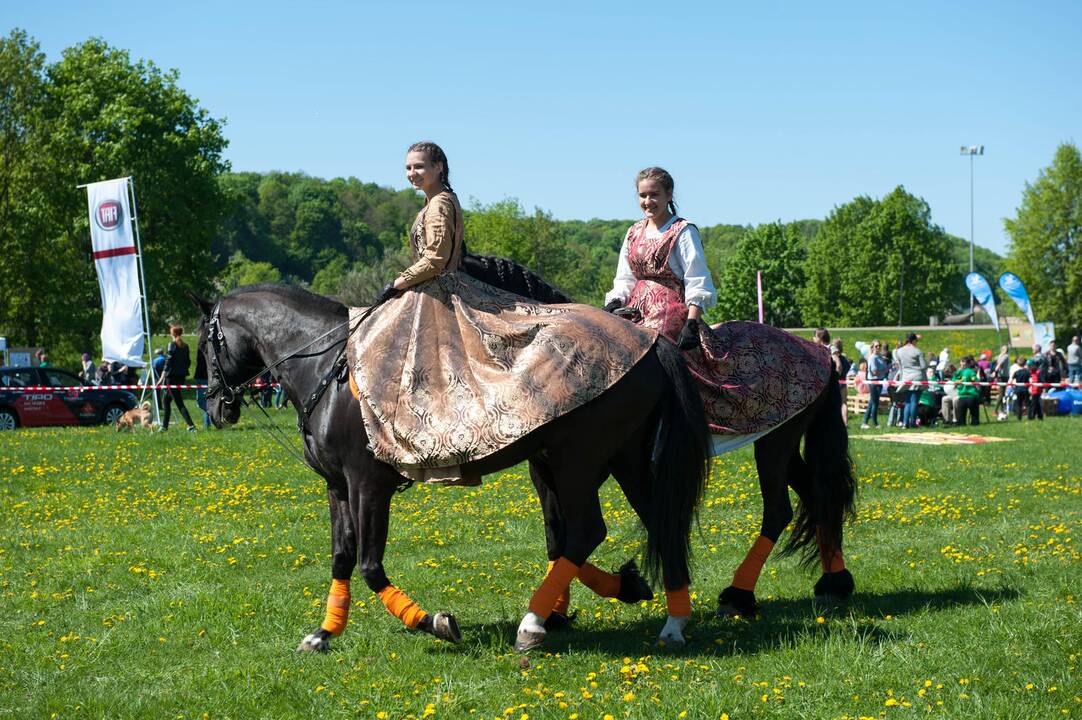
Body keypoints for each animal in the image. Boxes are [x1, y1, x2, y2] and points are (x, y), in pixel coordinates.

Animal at [186, 281, 709, 649]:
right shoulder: (337, 487)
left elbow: (370, 564)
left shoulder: (367, 485)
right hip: (624, 458)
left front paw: (432, 621)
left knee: (585, 533)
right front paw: (324, 632)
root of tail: (647, 340)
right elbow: (341, 556)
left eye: (206, 346)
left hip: (578, 463)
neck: (325, 369)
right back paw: (670, 620)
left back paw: (534, 624)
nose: (214, 406)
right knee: (654, 522)